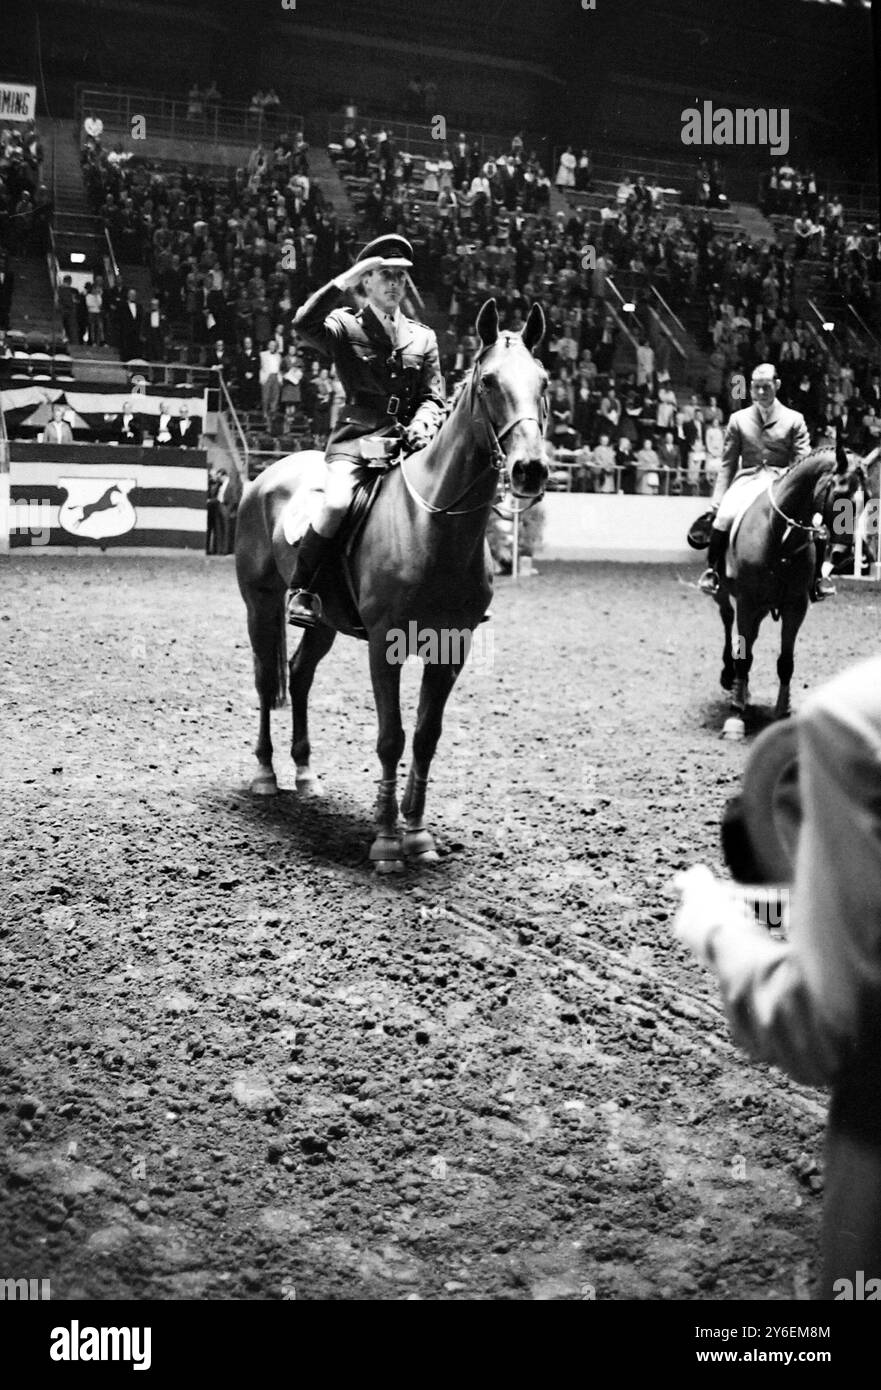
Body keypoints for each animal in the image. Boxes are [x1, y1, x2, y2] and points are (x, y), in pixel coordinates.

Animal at [233, 301, 550, 867]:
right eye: (489, 381)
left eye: (544, 381)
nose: (530, 469)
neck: (431, 523)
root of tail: (263, 478)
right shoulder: (385, 644)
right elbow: (390, 737)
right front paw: (385, 839)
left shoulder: (451, 648)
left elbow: (425, 737)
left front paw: (417, 833)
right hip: (260, 606)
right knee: (268, 680)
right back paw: (267, 774)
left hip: (324, 622)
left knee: (299, 675)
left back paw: (305, 773)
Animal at [711, 444, 861, 739]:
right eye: (839, 495)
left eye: (866, 500)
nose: (844, 555)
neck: (779, 538)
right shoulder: (747, 602)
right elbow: (744, 658)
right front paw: (736, 716)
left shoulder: (796, 607)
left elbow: (785, 663)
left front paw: (783, 712)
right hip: (726, 595)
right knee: (727, 621)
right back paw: (730, 679)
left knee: (749, 639)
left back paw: (743, 690)